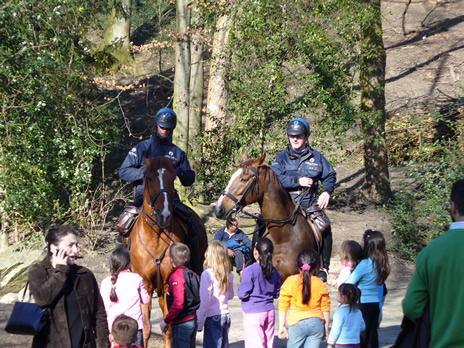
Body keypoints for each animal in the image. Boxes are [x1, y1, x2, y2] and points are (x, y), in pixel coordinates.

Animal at [128, 156, 206, 346]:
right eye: (149, 178)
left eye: (172, 178)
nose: (164, 214)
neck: (155, 235)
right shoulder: (146, 285)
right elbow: (146, 328)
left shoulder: (167, 283)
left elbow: (169, 327)